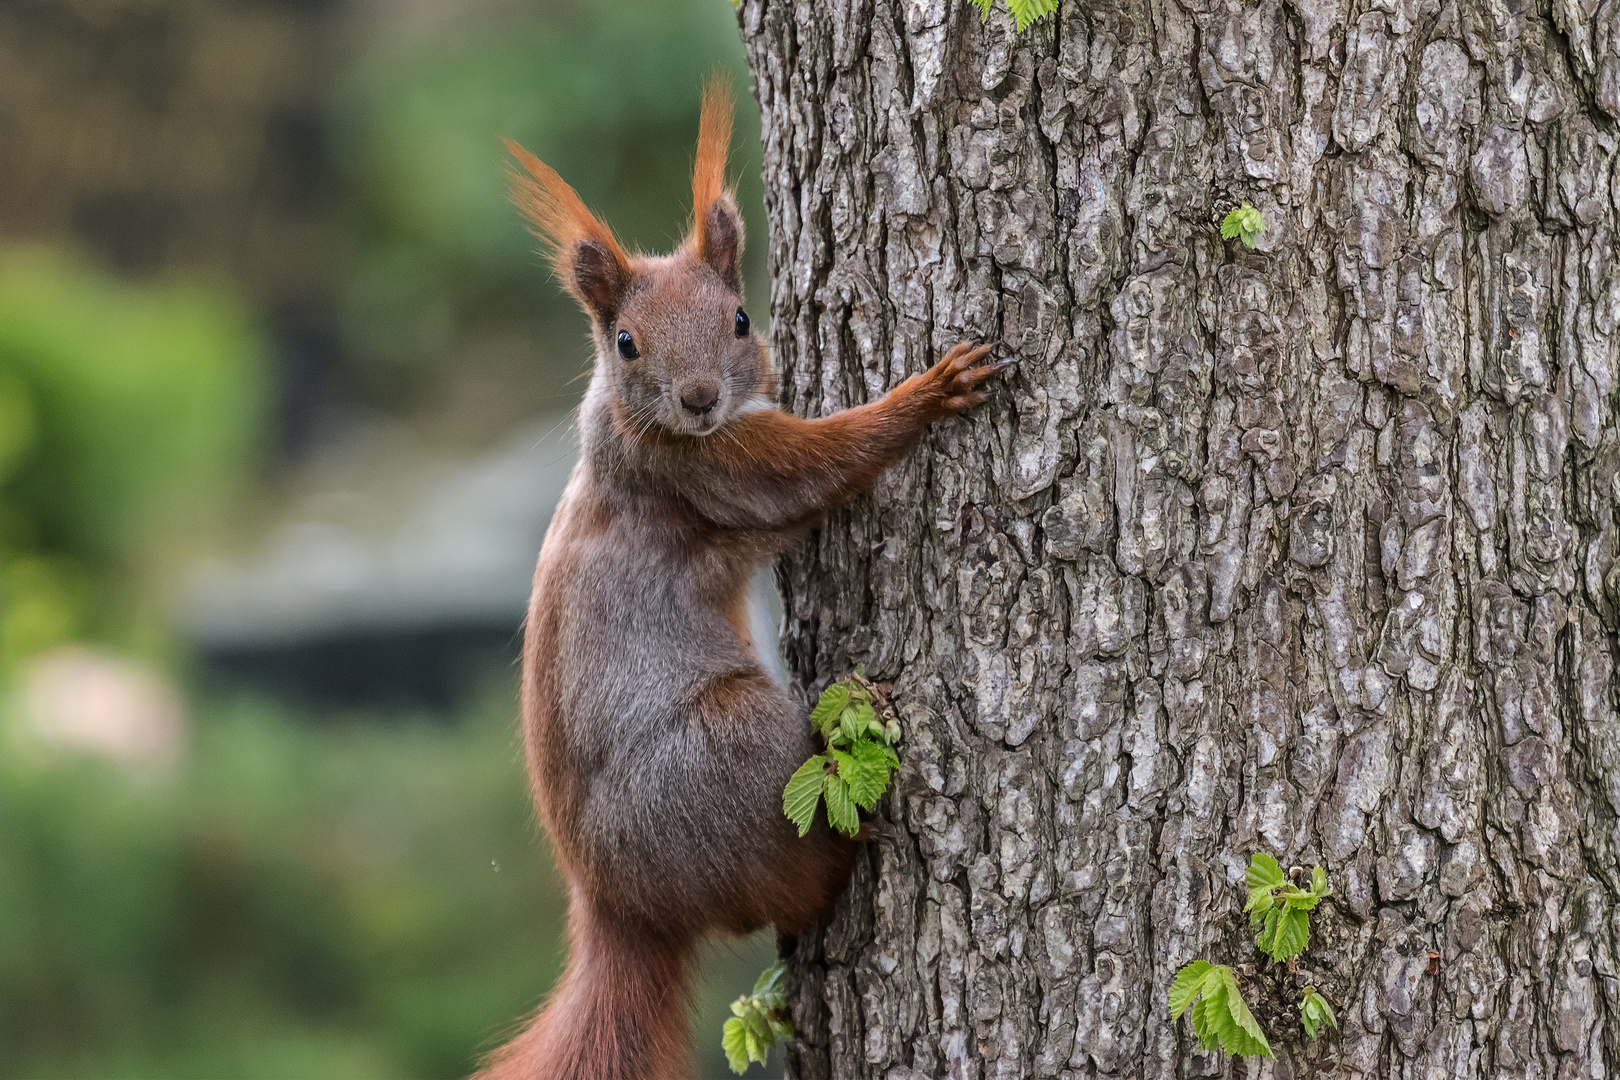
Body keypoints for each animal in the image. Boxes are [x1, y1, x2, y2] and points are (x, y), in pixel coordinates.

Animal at [479, 78, 1004, 1080]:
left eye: (740, 319)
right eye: (626, 341)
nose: (698, 399)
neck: (629, 426)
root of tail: (620, 909)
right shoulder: (712, 472)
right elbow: (815, 468)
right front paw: (930, 391)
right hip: (731, 756)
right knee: (795, 887)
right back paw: (853, 835)